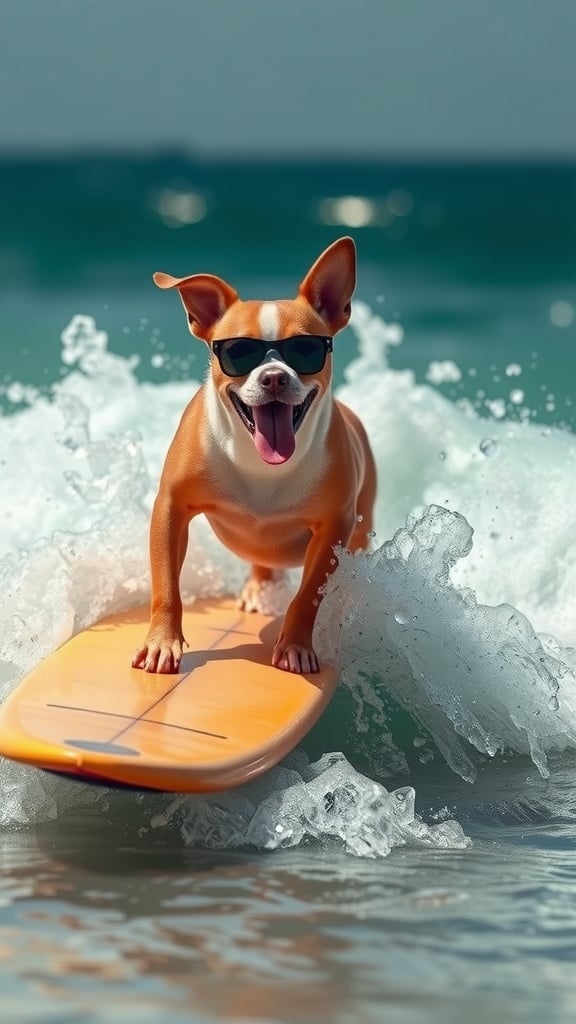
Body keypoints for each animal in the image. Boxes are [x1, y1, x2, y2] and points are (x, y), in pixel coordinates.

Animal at [133, 235, 377, 675]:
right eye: (238, 352)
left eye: (305, 350)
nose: (275, 377)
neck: (261, 463)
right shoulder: (170, 508)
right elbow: (166, 584)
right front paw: (162, 641)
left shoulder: (334, 527)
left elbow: (308, 596)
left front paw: (296, 645)